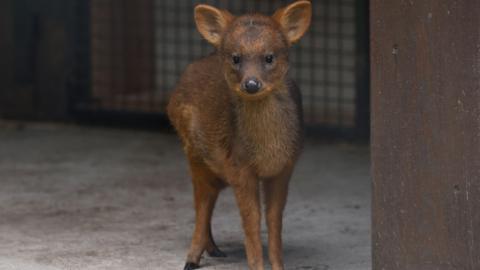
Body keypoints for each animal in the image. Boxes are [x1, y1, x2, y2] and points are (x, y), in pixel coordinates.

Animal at [168, 1, 312, 268]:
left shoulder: (285, 168)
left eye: (269, 57)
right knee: (202, 202)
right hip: (193, 151)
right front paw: (256, 265)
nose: (251, 84)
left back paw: (213, 249)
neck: (268, 151)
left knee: (209, 198)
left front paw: (278, 265)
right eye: (236, 57)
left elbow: (274, 222)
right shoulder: (239, 166)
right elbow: (251, 222)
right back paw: (192, 258)